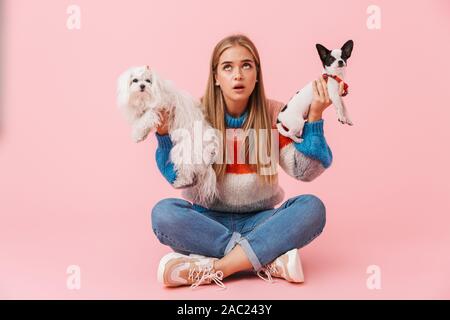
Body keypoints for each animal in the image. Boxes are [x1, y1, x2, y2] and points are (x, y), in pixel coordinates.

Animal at [117, 66, 221, 206]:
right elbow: (140, 120)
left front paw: (138, 133)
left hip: (183, 151)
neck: (144, 99)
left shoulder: (157, 108)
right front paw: (139, 135)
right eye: (135, 80)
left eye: (148, 81)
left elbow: (146, 118)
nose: (142, 86)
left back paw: (181, 181)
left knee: (187, 172)